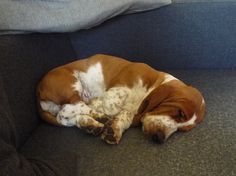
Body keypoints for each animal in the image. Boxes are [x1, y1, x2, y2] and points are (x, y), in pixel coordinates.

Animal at [37, 54, 205, 144]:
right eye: (179, 113)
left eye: (181, 129)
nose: (159, 138)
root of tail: (38, 90)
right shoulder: (121, 88)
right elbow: (112, 104)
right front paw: (104, 109)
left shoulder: (131, 111)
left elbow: (125, 117)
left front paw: (114, 129)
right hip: (72, 85)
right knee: (69, 109)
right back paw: (97, 115)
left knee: (65, 117)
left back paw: (91, 124)